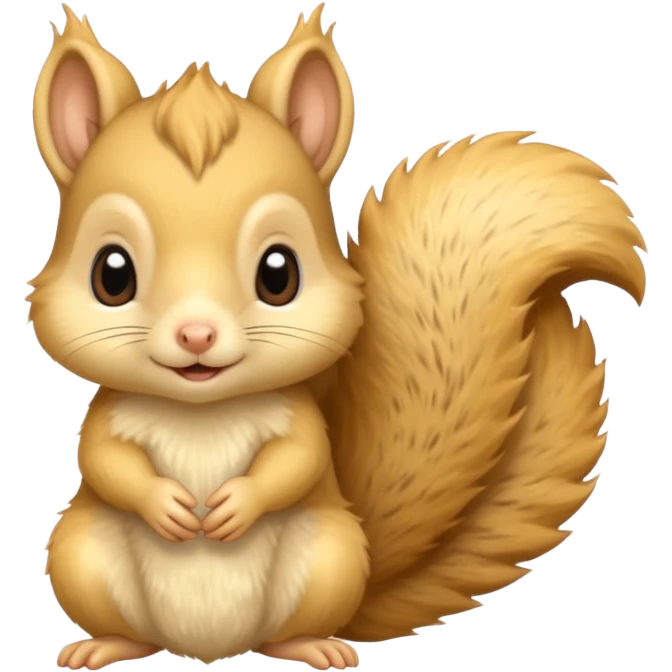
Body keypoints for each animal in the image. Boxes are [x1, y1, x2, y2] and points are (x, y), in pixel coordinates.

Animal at [30, 4, 647, 671]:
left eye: (279, 274)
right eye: (111, 275)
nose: (196, 334)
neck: (202, 410)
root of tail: (210, 648)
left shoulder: (298, 419)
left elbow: (298, 461)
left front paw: (236, 503)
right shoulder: (107, 416)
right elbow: (103, 459)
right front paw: (165, 503)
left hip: (330, 556)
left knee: (293, 628)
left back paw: (315, 645)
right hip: (80, 554)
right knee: (125, 623)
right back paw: (106, 644)